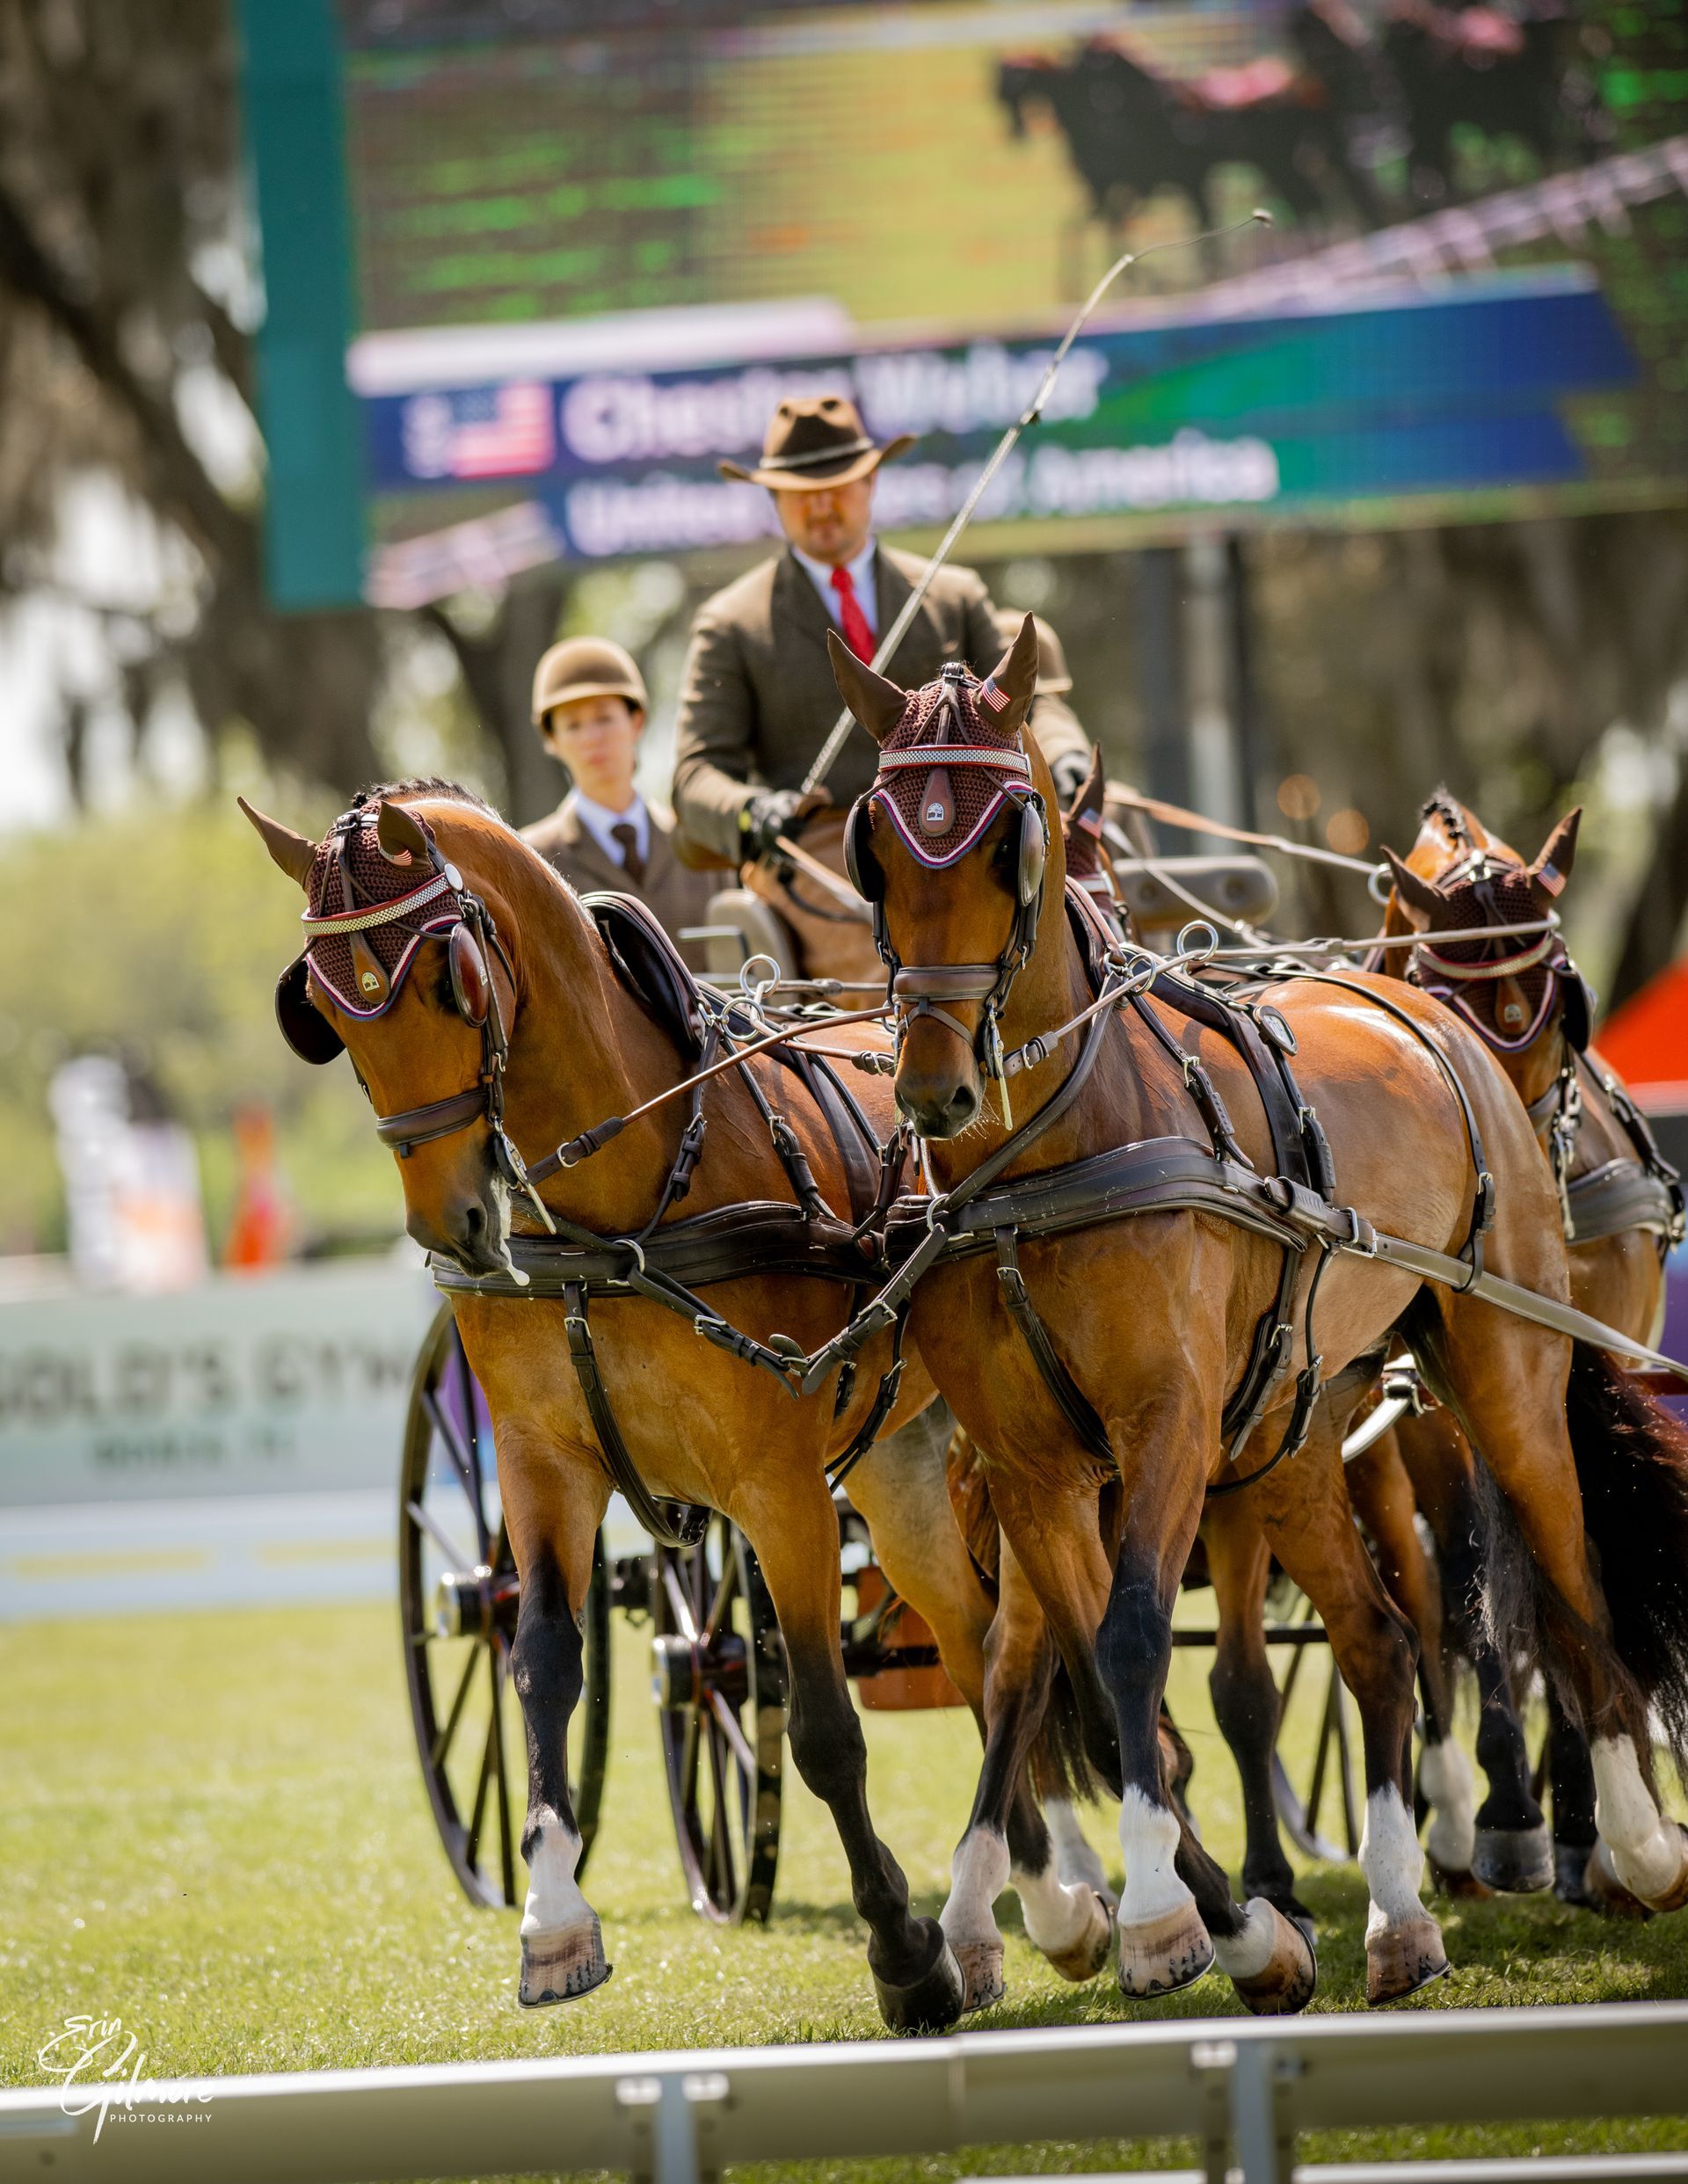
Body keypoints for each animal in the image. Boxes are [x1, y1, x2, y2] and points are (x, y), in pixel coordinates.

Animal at [236, 782, 1104, 2027]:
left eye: (450, 977)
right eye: (322, 1012)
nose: (455, 1224)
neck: (622, 1203)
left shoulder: (776, 1485)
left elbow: (824, 1728)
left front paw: (903, 1954)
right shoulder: (541, 1462)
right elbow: (542, 1663)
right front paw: (552, 1924)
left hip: (991, 1432)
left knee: (1023, 1635)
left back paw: (1059, 1901)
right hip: (898, 1462)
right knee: (972, 1634)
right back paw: (1027, 1903)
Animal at [820, 615, 1685, 2009]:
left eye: (1014, 841)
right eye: (875, 849)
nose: (935, 1088)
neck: (1045, 1160)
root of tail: (1427, 1021)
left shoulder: (1167, 1425)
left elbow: (1128, 1644)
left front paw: (1166, 1917)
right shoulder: (1030, 1464)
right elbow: (1076, 1666)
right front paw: (1221, 1921)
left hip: (1499, 1371)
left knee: (1560, 1574)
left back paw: (1630, 1841)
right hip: (1294, 1425)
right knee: (1380, 1635)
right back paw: (1398, 1916)